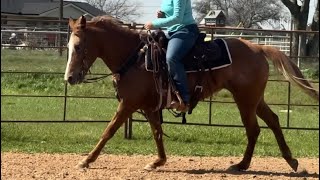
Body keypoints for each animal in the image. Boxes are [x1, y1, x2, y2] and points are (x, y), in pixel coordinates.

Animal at [64, 15, 318, 172]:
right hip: (255, 99)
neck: (135, 57)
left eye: (78, 46)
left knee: (253, 129)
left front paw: (86, 160)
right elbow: (157, 133)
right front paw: (158, 161)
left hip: (245, 100)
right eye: (68, 47)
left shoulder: (128, 104)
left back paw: (241, 165)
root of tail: (257, 47)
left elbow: (108, 131)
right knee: (273, 121)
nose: (69, 78)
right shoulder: (148, 106)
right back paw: (292, 161)